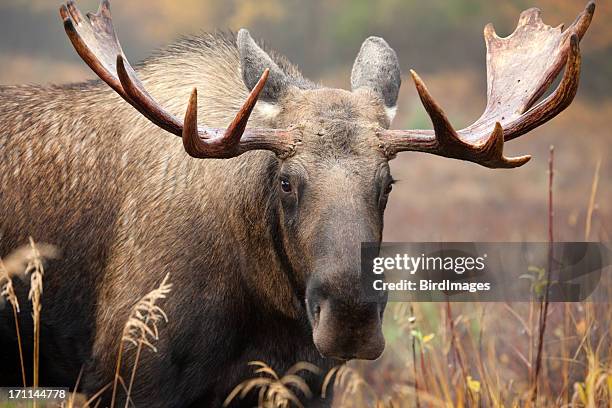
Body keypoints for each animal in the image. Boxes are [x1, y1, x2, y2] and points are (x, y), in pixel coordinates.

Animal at [0, 0, 592, 406]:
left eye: (387, 184)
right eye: (285, 181)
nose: (351, 317)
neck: (263, 303)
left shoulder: (305, 384)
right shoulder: (125, 373)